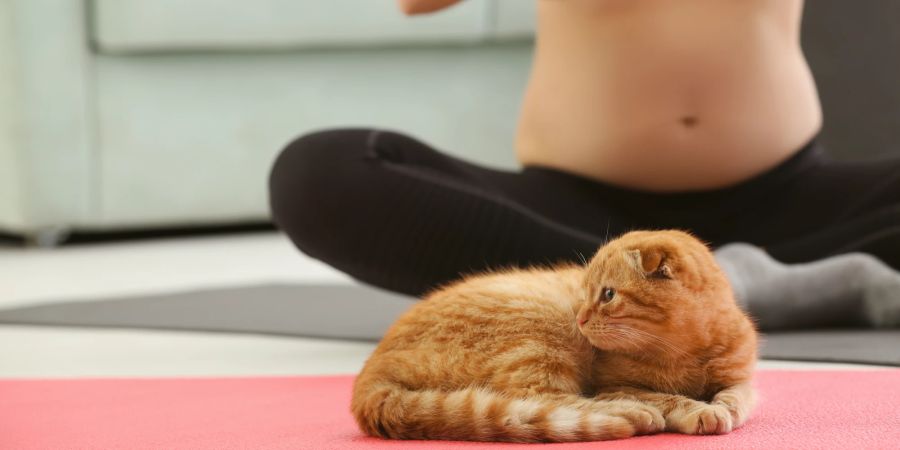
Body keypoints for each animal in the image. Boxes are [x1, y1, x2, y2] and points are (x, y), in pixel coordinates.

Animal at [348, 230, 756, 442]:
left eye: (608, 294)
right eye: (585, 291)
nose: (580, 317)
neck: (688, 354)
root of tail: (371, 369)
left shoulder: (741, 377)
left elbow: (739, 395)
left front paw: (724, 407)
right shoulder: (613, 384)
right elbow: (667, 398)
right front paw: (698, 409)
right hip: (541, 341)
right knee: (545, 400)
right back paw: (632, 413)